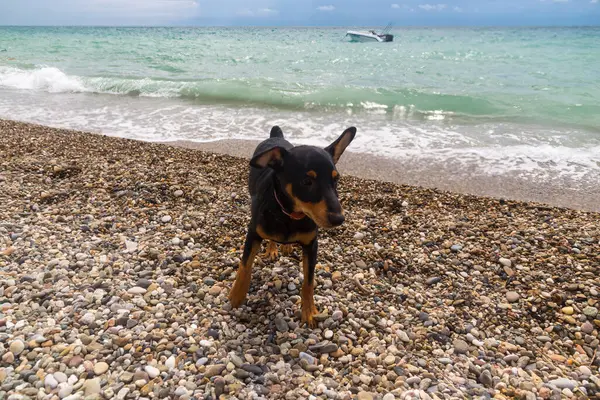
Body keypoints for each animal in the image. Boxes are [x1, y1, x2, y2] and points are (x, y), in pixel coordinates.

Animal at [230, 126, 356, 326]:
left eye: (336, 180)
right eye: (306, 182)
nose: (339, 218)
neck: (290, 214)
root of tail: (276, 137)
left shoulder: (312, 245)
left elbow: (309, 281)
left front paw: (309, 311)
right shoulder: (253, 233)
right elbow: (245, 266)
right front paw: (236, 296)